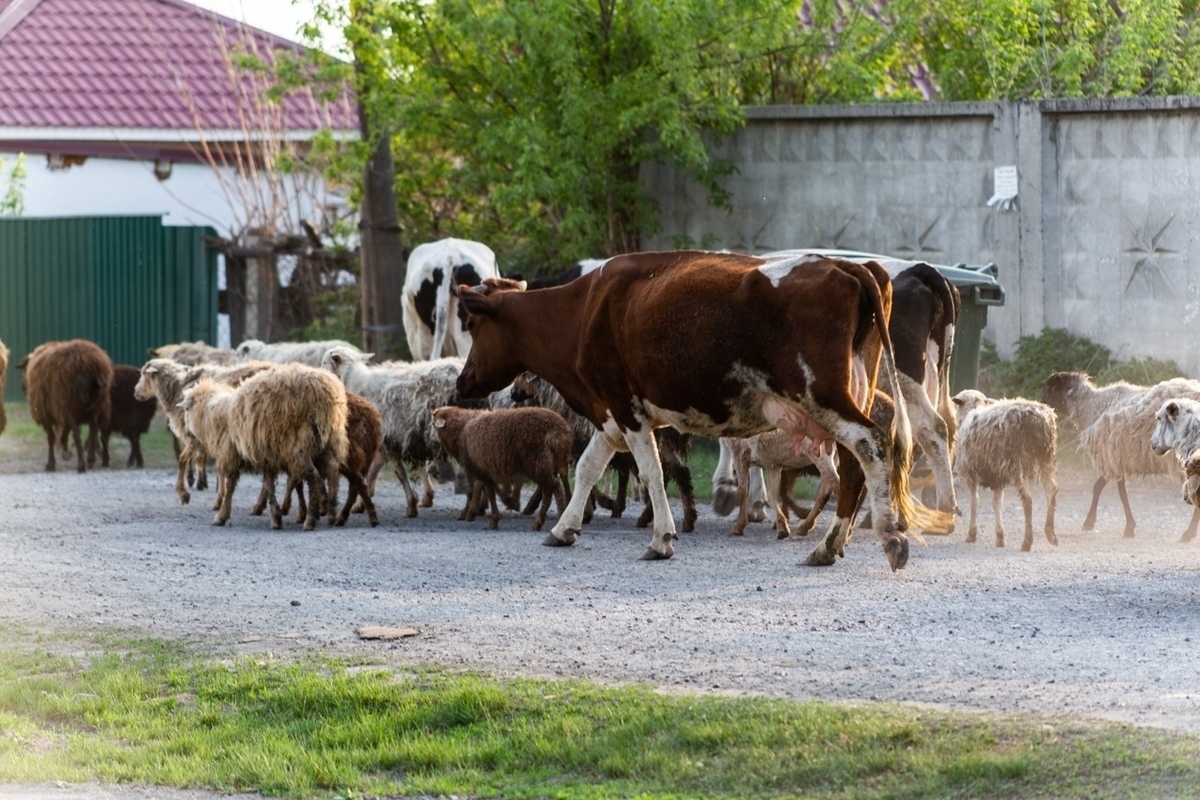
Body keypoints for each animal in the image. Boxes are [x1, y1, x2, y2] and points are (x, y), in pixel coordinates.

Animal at [319, 345, 463, 520]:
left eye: (324, 362)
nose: (319, 374)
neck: (356, 382)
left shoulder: (389, 440)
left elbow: (398, 473)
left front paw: (411, 505)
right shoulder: (393, 440)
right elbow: (376, 471)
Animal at [432, 407, 571, 532]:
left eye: (433, 424)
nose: (433, 443)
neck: (462, 429)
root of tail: (558, 431)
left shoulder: (482, 468)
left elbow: (489, 493)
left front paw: (490, 518)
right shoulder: (488, 468)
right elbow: (490, 489)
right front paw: (507, 503)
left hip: (539, 463)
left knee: (555, 487)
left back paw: (559, 517)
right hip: (555, 463)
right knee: (553, 489)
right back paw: (539, 522)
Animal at [456, 250, 945, 568]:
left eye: (473, 324)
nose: (462, 382)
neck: (585, 308)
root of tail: (848, 265)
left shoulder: (625, 407)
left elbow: (651, 471)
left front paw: (662, 538)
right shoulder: (612, 413)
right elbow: (589, 467)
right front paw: (564, 528)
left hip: (824, 396)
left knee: (870, 446)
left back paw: (883, 537)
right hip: (850, 394)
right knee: (854, 464)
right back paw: (830, 545)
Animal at [950, 388, 1056, 551]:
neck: (972, 411)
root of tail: (1037, 419)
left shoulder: (971, 473)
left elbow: (975, 501)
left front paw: (972, 534)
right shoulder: (997, 476)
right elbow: (997, 504)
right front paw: (1000, 537)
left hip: (1014, 463)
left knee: (1027, 499)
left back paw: (1027, 541)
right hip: (1046, 457)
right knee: (1051, 490)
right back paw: (1050, 533)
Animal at [1041, 374, 1200, 537]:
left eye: (1050, 388)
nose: (1042, 403)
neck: (1092, 405)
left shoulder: (1111, 457)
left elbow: (1112, 491)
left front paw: (1095, 523)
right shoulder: (1116, 459)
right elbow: (1109, 489)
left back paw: (1188, 534)